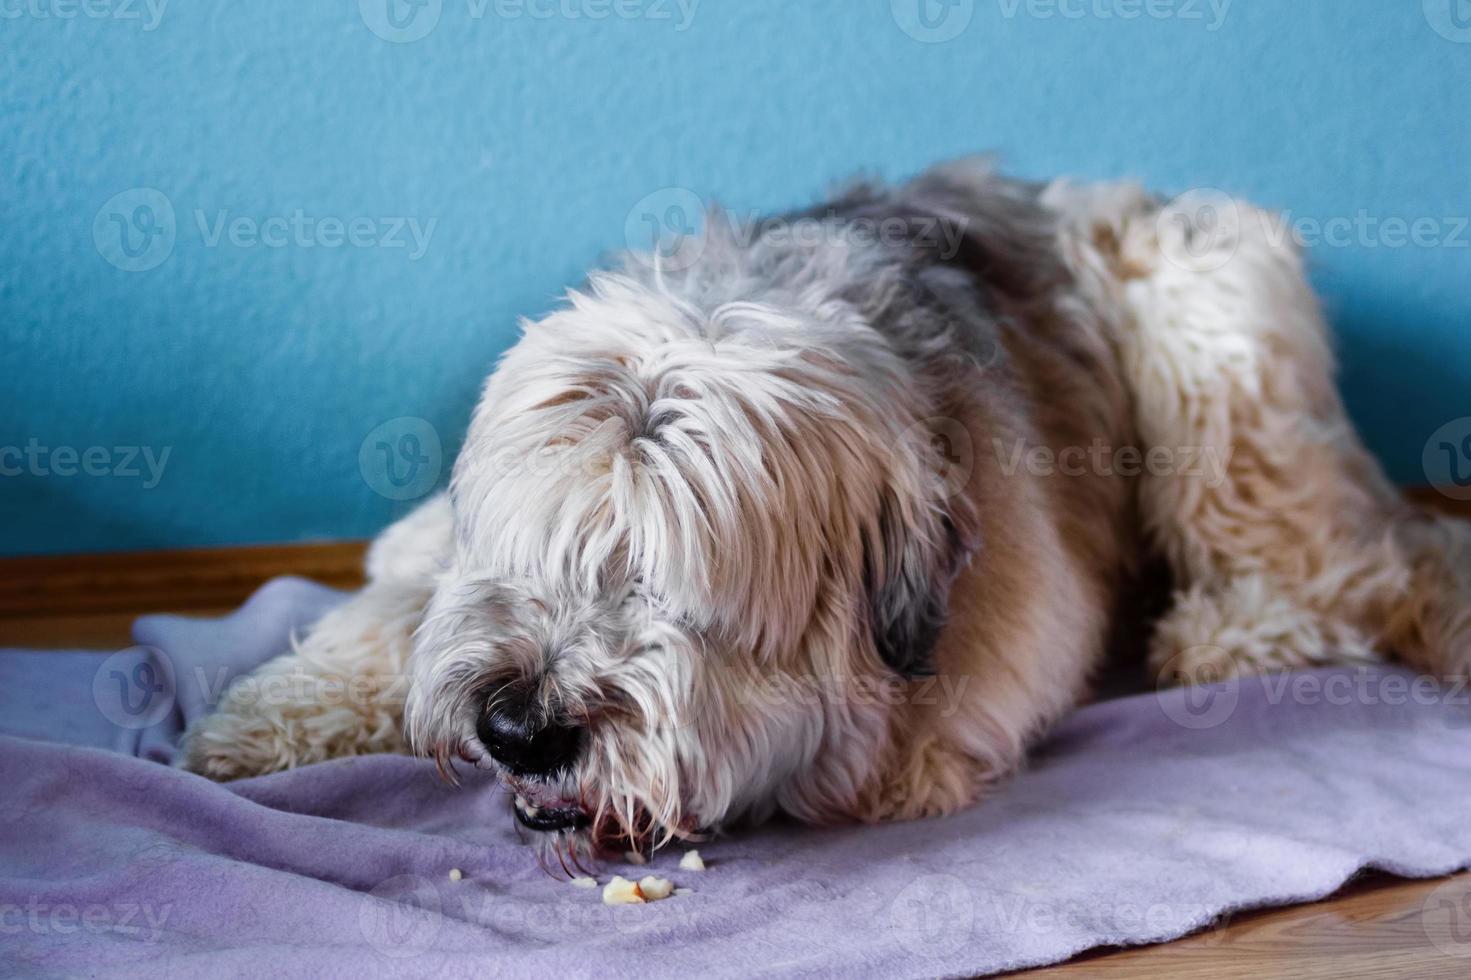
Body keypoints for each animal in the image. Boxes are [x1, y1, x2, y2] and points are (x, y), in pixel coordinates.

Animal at [180, 160, 1471, 865]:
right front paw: (261, 720)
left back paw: (1225, 631)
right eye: (531, 552)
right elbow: (390, 609)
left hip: (1205, 318)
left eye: (662, 583)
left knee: (1360, 568)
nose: (520, 728)